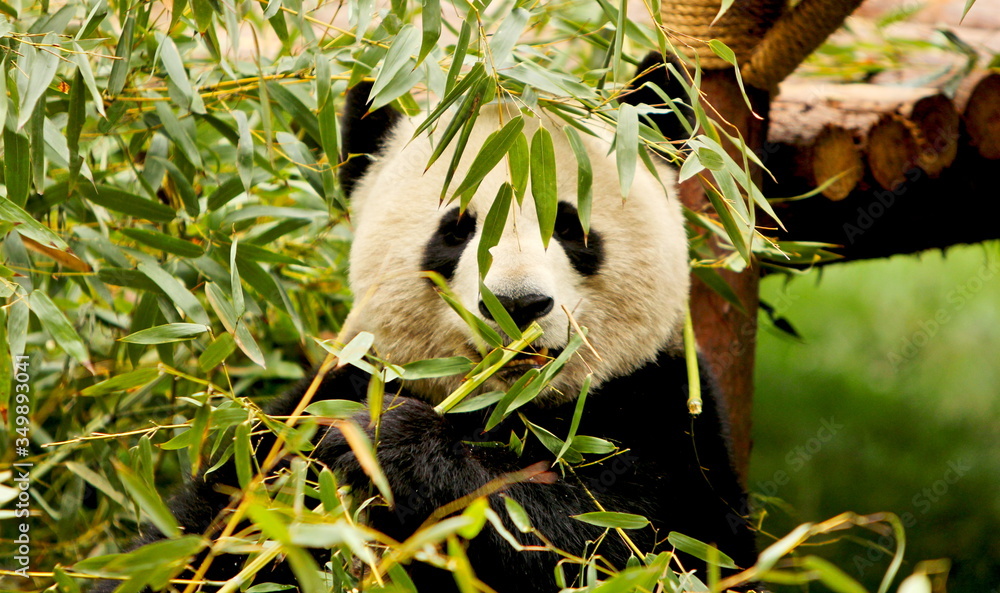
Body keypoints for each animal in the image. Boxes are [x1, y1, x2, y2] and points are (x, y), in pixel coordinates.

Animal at [93, 54, 756, 592]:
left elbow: (631, 542)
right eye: (457, 228)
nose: (515, 305)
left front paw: (395, 449)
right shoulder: (299, 419)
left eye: (568, 226)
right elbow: (201, 536)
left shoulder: (661, 413)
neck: (503, 411)